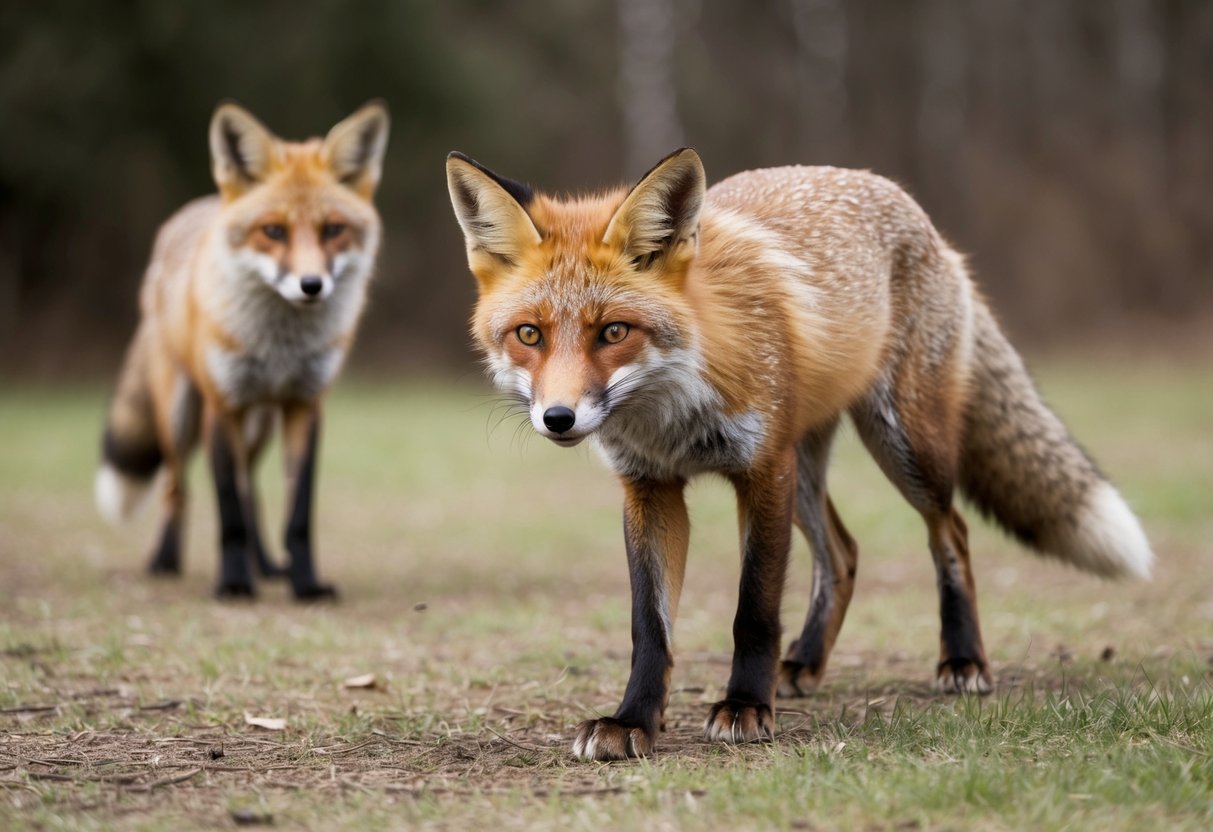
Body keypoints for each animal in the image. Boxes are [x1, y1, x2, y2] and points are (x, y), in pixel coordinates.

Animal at [96, 101, 390, 600]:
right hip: (181, 414)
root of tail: (197, 208)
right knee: (177, 488)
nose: (312, 285)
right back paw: (165, 560)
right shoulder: (224, 404)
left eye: (333, 230)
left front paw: (304, 583)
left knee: (251, 487)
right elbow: (228, 509)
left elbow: (297, 513)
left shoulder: (305, 405)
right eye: (273, 231)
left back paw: (268, 565)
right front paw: (233, 583)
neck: (280, 347)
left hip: (261, 423)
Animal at [445, 147, 1154, 761]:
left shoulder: (762, 471)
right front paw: (633, 720)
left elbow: (754, 610)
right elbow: (651, 627)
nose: (558, 418)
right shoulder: (650, 487)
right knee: (843, 553)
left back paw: (962, 660)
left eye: (613, 331)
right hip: (809, 471)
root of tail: (921, 218)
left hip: (901, 446)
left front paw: (744, 708)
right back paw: (807, 663)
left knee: (950, 531)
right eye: (529, 335)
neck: (673, 411)